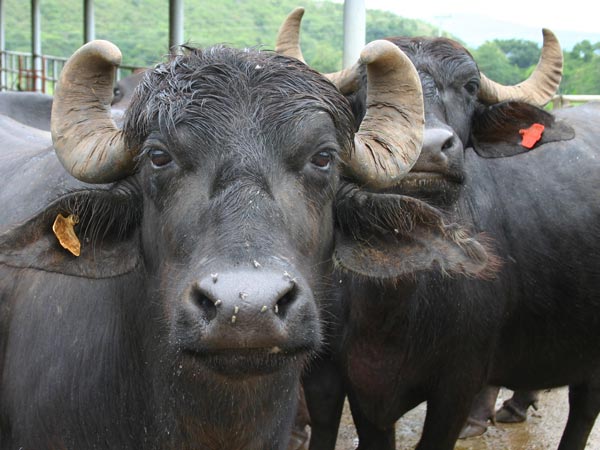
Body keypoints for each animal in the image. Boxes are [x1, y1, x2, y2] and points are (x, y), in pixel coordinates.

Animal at [277, 8, 600, 450]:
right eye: (367, 88)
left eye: (469, 87)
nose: (428, 149)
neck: (394, 302)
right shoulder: (349, 385)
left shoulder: (458, 384)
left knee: (583, 411)